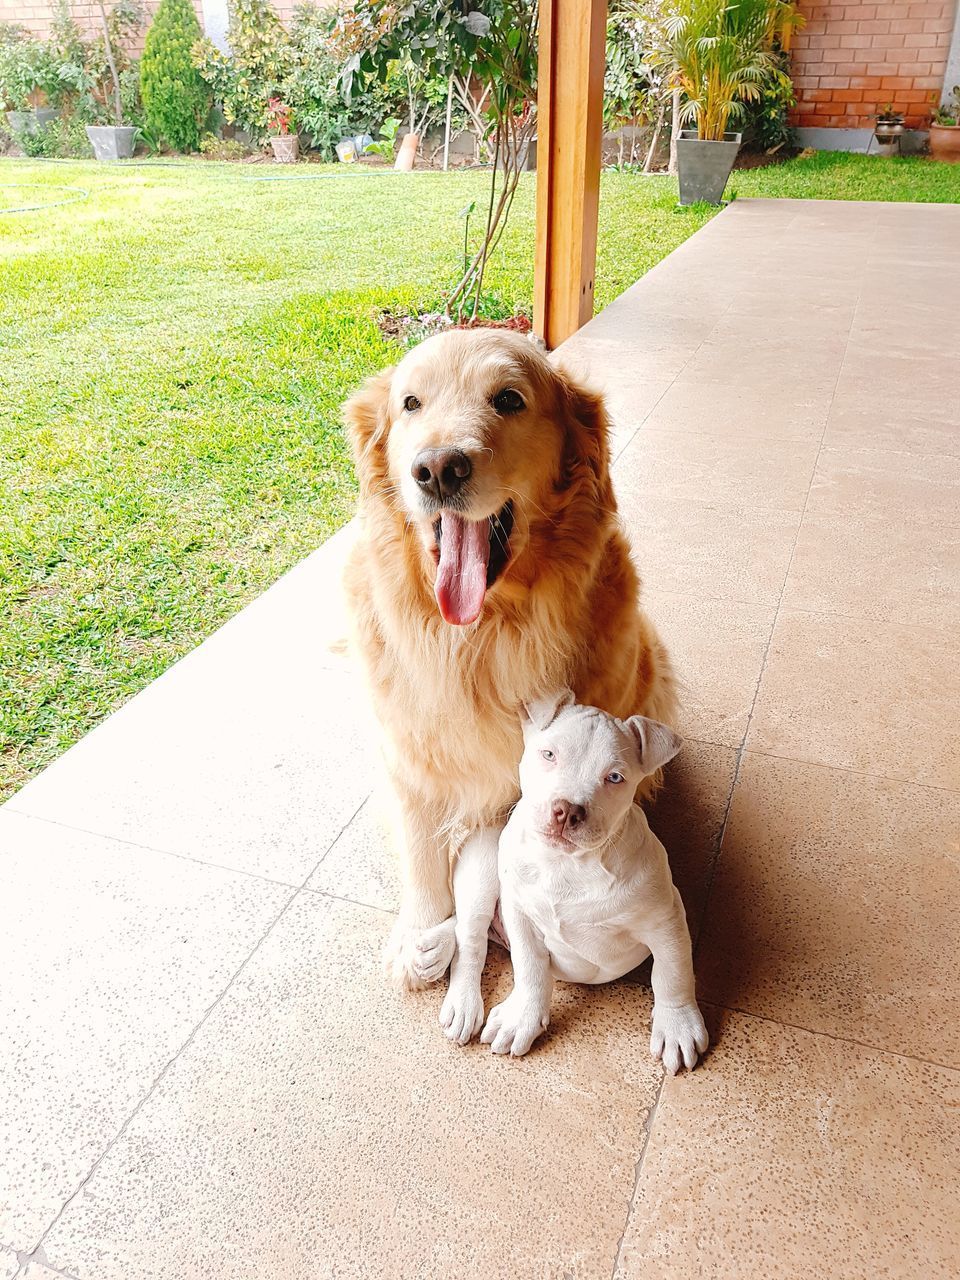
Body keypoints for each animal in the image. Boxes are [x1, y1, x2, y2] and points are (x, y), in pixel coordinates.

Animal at [424, 691, 711, 1070]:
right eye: (548, 754)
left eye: (615, 777)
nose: (567, 810)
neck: (566, 865)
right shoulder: (519, 913)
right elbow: (530, 967)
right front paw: (522, 1018)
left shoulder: (665, 920)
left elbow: (672, 973)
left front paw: (677, 1025)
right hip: (482, 869)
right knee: (471, 937)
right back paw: (460, 998)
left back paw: (431, 951)